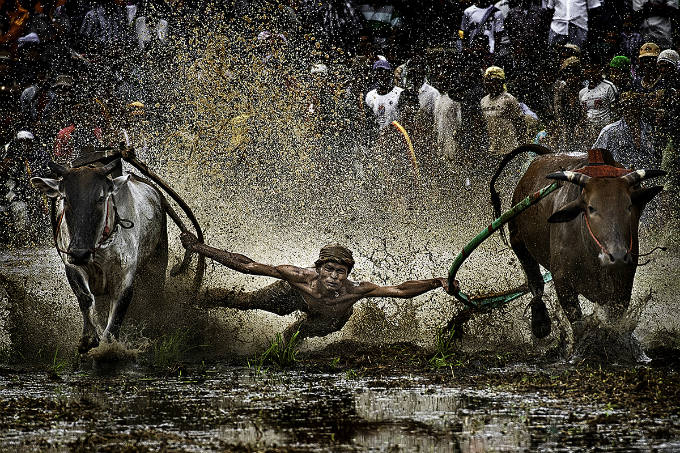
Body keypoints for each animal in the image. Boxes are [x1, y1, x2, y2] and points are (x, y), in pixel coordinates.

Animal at [32, 159, 168, 354]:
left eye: (101, 198)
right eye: (65, 198)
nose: (80, 252)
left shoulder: (125, 272)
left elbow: (120, 306)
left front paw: (109, 344)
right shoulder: (72, 265)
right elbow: (85, 298)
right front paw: (88, 338)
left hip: (158, 262)